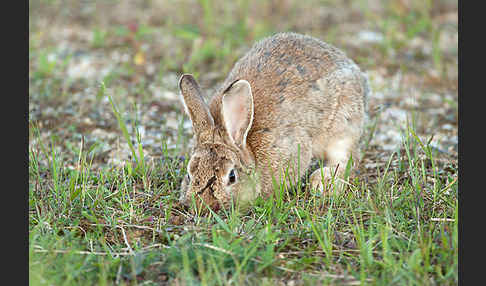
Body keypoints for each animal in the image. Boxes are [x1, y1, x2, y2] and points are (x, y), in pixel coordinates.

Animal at [178, 32, 368, 213]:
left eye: (232, 176)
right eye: (189, 174)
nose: (203, 206)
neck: (248, 146)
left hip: (344, 123)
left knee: (347, 158)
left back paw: (323, 182)